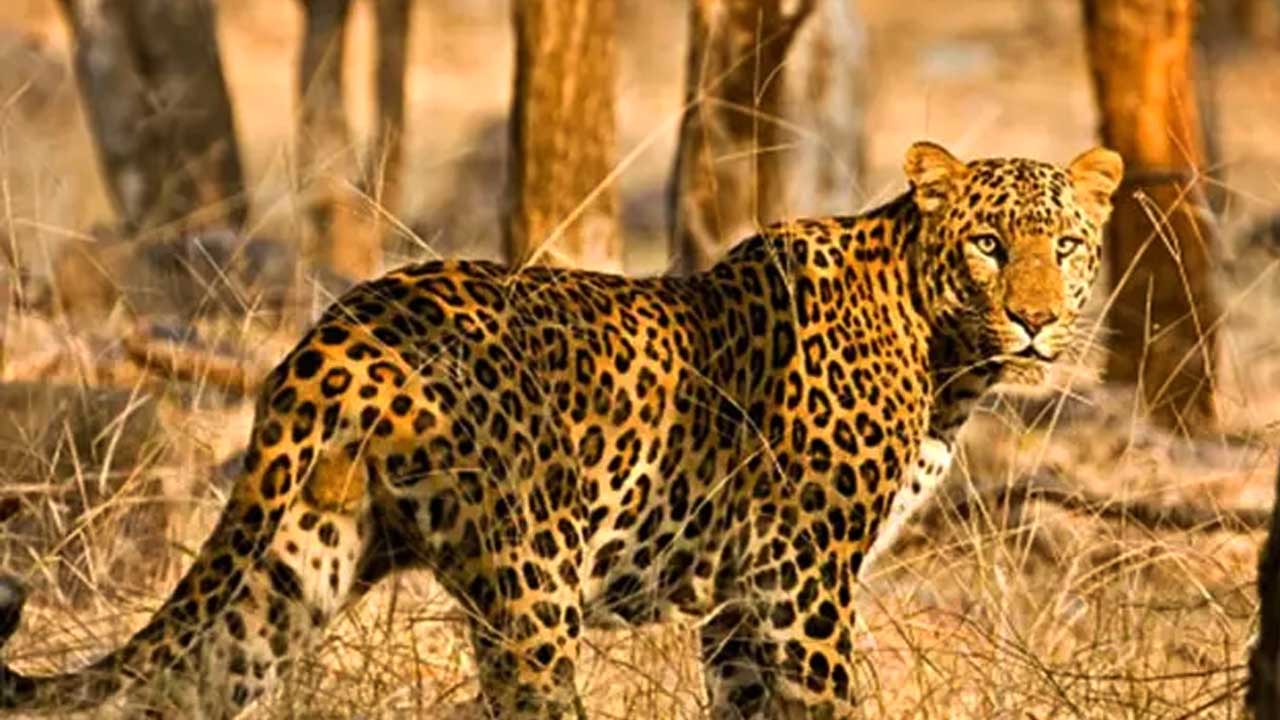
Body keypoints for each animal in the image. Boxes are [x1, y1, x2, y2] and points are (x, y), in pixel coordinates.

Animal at [0, 141, 1122, 719]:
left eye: (1064, 246)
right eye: (986, 245)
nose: (1034, 319)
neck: (946, 360)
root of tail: (342, 328)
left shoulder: (740, 602)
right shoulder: (798, 573)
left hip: (298, 560)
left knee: (191, 683)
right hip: (531, 577)